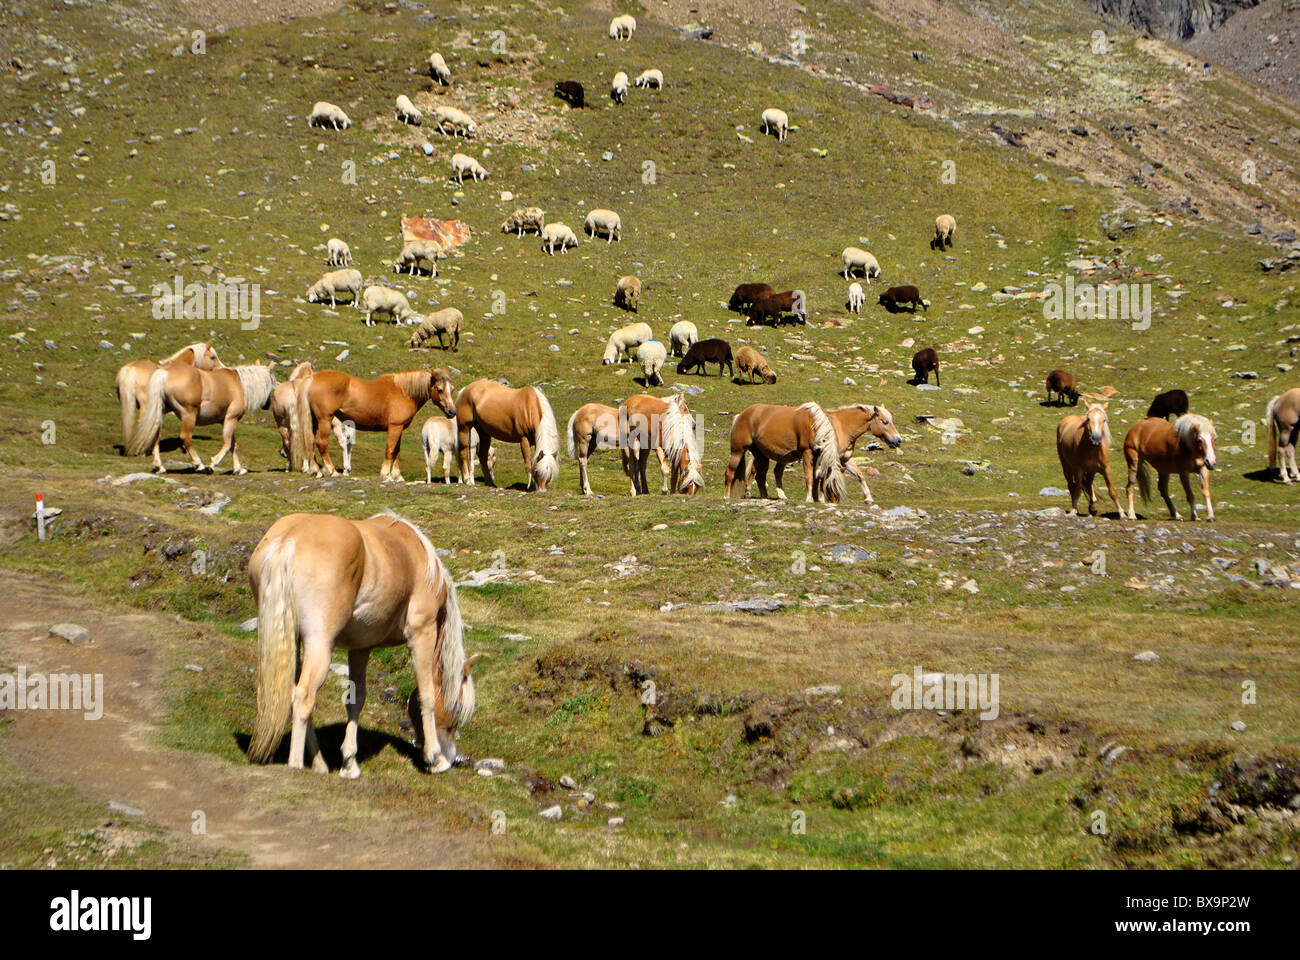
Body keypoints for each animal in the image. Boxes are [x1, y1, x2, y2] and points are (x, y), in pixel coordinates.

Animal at [127, 361, 277, 474]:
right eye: (273, 382)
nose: (268, 404)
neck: (238, 384)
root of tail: (165, 372)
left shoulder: (226, 421)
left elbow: (234, 444)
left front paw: (238, 469)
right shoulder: (231, 418)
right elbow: (228, 444)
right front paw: (213, 464)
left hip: (161, 413)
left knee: (156, 436)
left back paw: (160, 466)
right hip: (189, 416)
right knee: (186, 438)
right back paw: (200, 465)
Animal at [246, 511, 479, 778]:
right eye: (458, 708)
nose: (452, 757)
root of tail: (288, 540)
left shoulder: (360, 647)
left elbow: (356, 698)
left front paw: (349, 763)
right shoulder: (422, 633)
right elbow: (427, 695)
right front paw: (435, 759)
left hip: (294, 642)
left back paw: (320, 764)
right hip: (320, 644)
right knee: (304, 696)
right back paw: (295, 764)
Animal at [289, 368, 456, 482]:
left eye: (452, 389)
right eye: (440, 389)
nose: (452, 412)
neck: (403, 391)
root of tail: (312, 379)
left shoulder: (400, 428)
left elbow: (397, 451)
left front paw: (397, 475)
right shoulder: (394, 427)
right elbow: (390, 450)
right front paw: (386, 475)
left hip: (314, 421)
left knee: (310, 442)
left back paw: (317, 470)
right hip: (325, 419)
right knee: (321, 443)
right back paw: (332, 471)